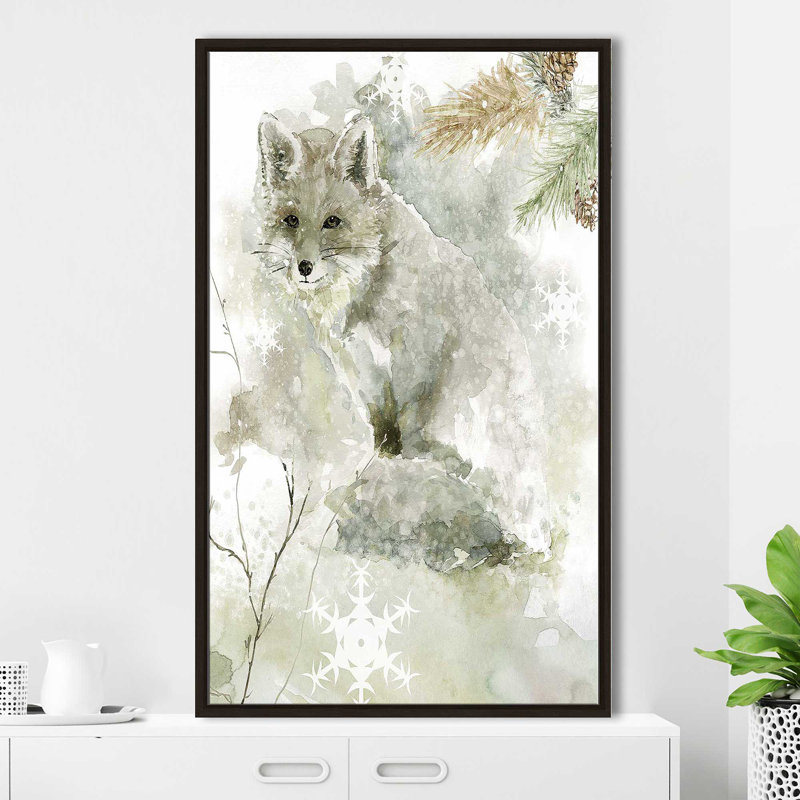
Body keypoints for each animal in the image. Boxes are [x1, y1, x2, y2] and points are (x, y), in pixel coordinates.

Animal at [243, 111, 550, 570]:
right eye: (291, 220)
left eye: (332, 221)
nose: (304, 267)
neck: (363, 285)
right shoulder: (358, 367)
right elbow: (383, 436)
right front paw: (380, 463)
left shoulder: (416, 354)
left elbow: (408, 431)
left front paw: (394, 471)